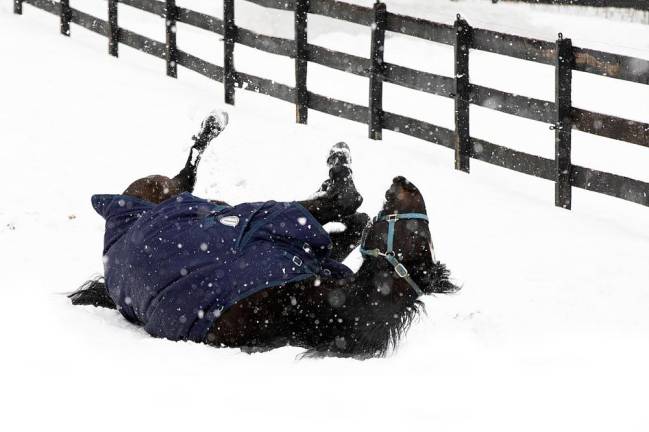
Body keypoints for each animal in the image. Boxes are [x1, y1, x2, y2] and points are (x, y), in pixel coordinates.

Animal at [69, 110, 456, 358]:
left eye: (420, 234)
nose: (404, 182)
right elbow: (353, 213)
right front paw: (340, 169)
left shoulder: (273, 220)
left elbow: (345, 200)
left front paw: (339, 160)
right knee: (190, 172)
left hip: (160, 187)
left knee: (186, 172)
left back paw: (214, 122)